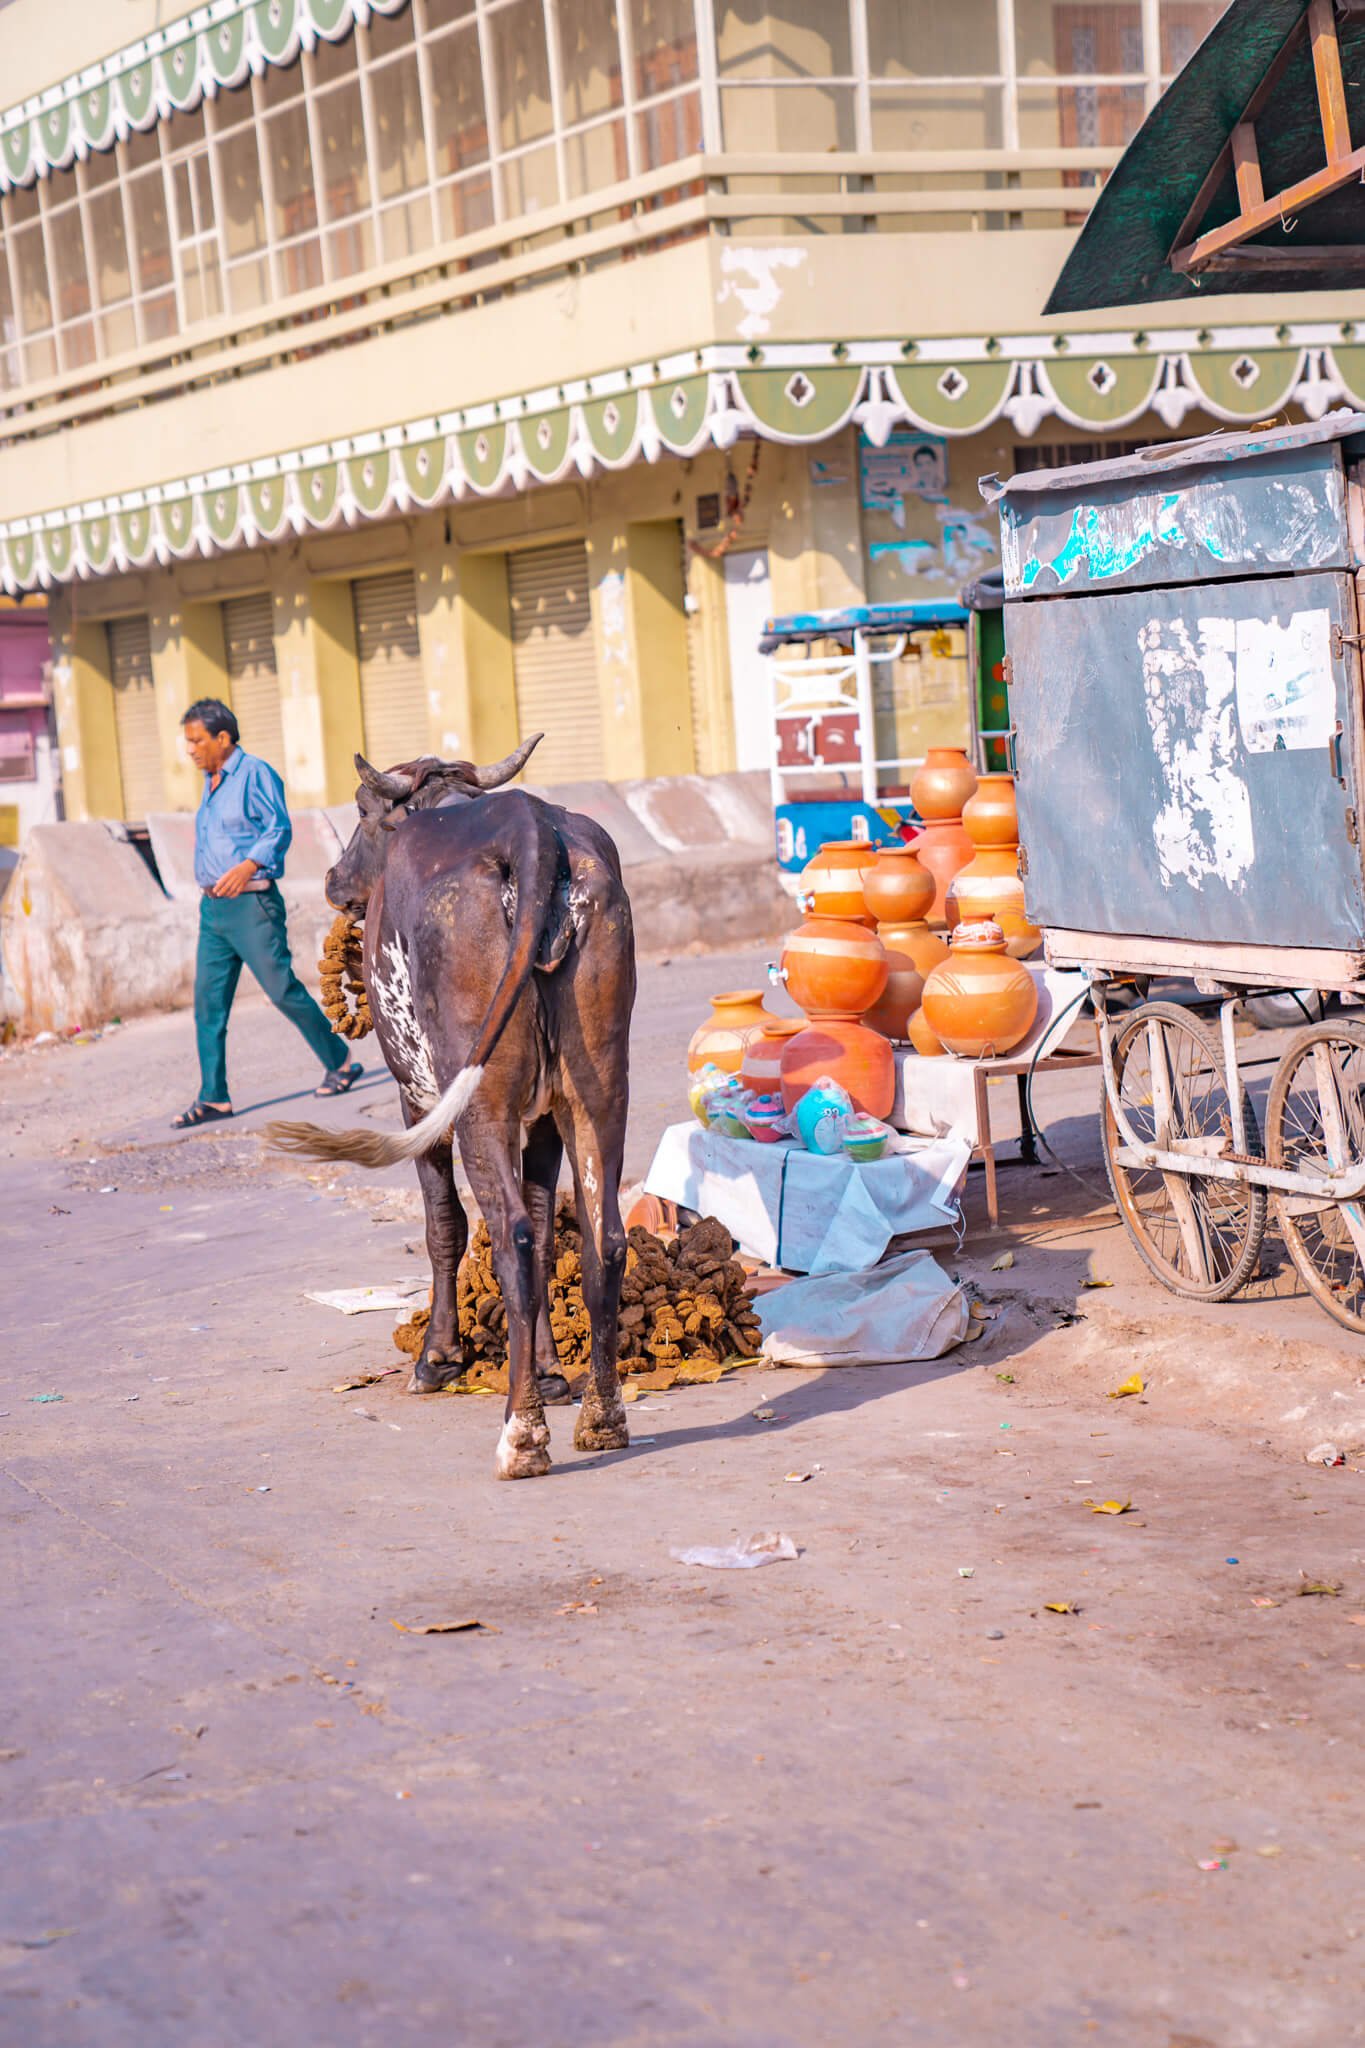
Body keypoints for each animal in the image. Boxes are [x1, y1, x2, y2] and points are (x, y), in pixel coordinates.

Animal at [270, 745, 638, 1482]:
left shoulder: (416, 1093)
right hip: (598, 1084)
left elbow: (444, 1225)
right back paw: (601, 1416)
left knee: (510, 1234)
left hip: (478, 1101)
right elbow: (550, 1229)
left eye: (363, 811)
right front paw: (550, 1370)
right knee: (599, 1239)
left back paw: (521, 1436)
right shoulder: (544, 1116)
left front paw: (437, 1357)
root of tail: (532, 833)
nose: (332, 878)